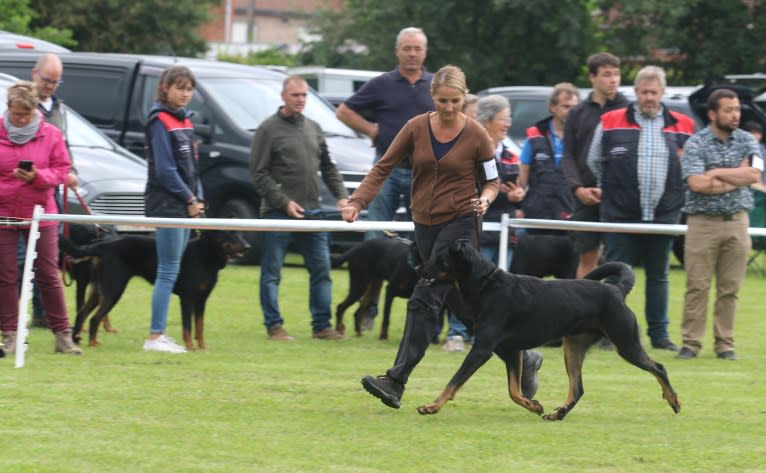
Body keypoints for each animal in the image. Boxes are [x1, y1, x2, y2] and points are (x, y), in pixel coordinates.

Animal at [62, 230, 252, 348]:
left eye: (239, 232)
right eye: (229, 233)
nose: (247, 246)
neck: (205, 254)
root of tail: (103, 245)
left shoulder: (201, 300)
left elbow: (200, 326)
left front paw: (203, 347)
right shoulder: (188, 298)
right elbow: (188, 326)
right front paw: (190, 347)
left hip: (99, 290)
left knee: (81, 314)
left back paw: (76, 339)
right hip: (114, 290)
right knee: (95, 319)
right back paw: (92, 343)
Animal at [420, 240, 684, 420]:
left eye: (438, 257)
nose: (418, 268)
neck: (487, 285)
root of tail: (617, 290)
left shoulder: (482, 349)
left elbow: (455, 381)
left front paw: (431, 406)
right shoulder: (509, 351)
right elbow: (514, 391)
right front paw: (534, 405)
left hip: (624, 341)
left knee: (658, 367)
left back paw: (674, 400)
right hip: (574, 347)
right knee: (577, 388)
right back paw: (559, 414)